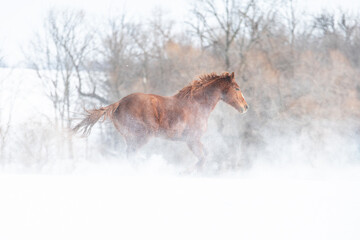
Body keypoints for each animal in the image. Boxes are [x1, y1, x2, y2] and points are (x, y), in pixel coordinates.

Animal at [72, 71, 248, 169]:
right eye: (237, 88)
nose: (245, 107)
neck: (197, 105)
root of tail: (118, 103)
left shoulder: (195, 140)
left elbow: (205, 155)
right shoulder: (192, 139)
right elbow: (202, 159)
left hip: (130, 137)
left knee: (130, 155)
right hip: (142, 136)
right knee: (131, 155)